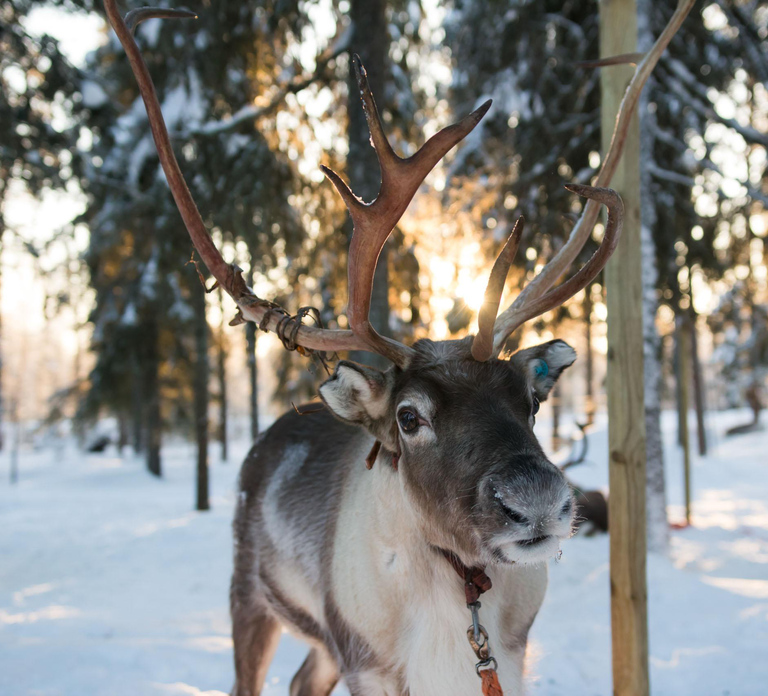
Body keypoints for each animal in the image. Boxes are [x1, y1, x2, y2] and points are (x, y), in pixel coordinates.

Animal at [103, 1, 695, 694]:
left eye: (530, 402)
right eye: (409, 418)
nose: (537, 504)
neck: (459, 593)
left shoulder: (511, 657)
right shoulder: (370, 664)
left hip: (322, 644)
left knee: (302, 680)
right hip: (252, 597)